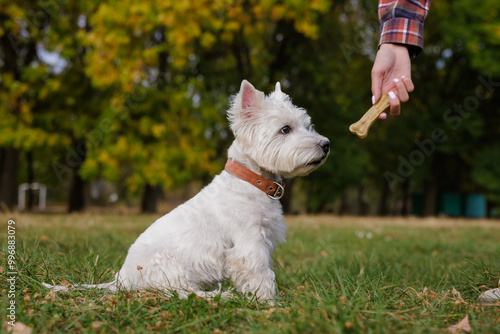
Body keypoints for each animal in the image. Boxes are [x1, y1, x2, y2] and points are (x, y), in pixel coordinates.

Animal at [43, 80, 330, 302]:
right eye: (285, 129)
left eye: (307, 125)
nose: (326, 144)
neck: (252, 182)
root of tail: (121, 279)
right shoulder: (249, 244)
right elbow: (260, 274)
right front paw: (269, 303)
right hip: (169, 267)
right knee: (184, 293)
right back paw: (221, 296)